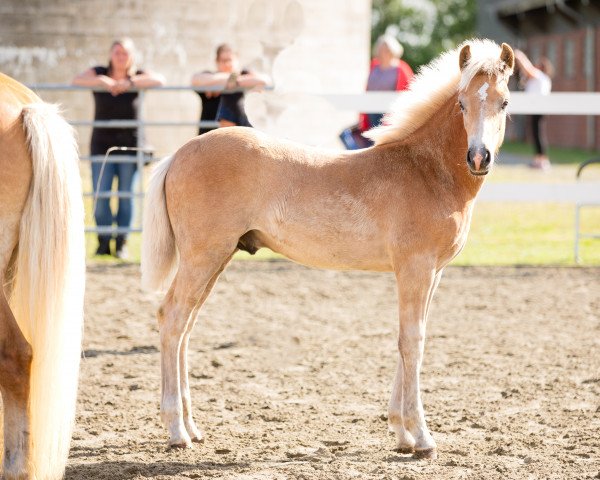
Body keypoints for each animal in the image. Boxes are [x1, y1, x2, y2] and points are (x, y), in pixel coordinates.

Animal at [143, 40, 512, 458]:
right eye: (462, 104)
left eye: (504, 102)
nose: (479, 157)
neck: (425, 171)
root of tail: (179, 153)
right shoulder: (415, 268)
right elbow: (412, 342)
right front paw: (422, 438)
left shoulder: (432, 272)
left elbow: (410, 339)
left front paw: (401, 433)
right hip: (202, 257)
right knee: (172, 318)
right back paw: (176, 430)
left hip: (215, 260)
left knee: (185, 326)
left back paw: (193, 426)